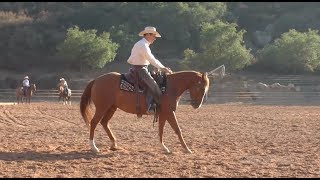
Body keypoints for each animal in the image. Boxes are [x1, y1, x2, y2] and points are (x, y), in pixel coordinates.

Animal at [79, 70, 210, 153]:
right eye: (200, 87)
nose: (196, 105)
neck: (170, 87)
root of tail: (96, 80)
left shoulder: (163, 113)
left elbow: (161, 129)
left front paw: (163, 147)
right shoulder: (169, 112)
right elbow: (177, 129)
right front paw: (187, 149)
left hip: (111, 107)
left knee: (104, 123)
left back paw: (114, 144)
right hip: (102, 107)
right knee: (94, 122)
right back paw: (93, 147)